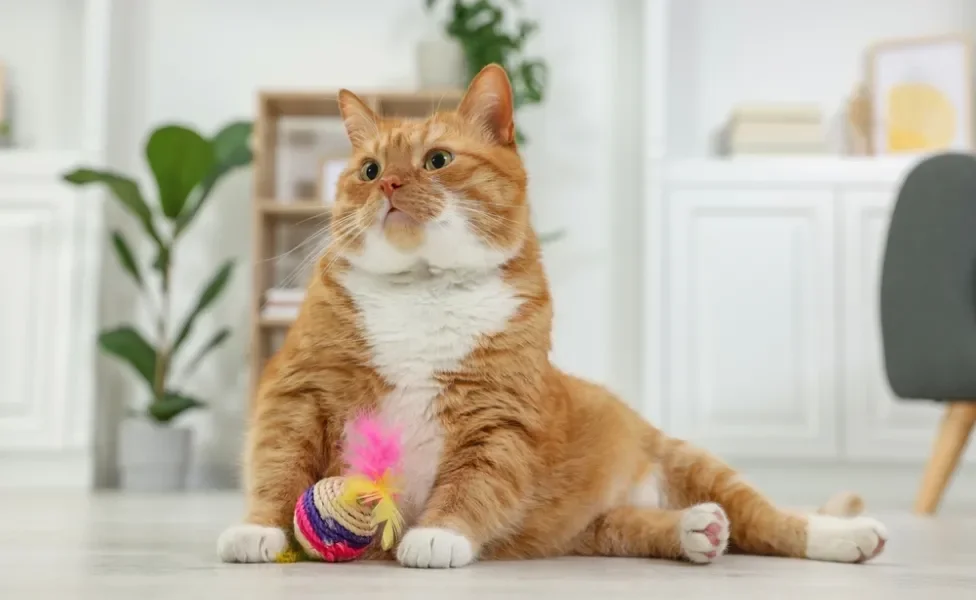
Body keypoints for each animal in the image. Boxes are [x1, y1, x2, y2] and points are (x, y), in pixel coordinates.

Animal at [217, 64, 888, 568]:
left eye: (437, 160)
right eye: (370, 170)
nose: (389, 187)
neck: (422, 288)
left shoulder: (500, 416)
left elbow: (475, 480)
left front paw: (440, 534)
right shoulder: (299, 393)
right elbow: (278, 464)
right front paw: (260, 528)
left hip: (692, 460)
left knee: (771, 518)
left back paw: (843, 537)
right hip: (592, 530)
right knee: (638, 527)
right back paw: (694, 530)